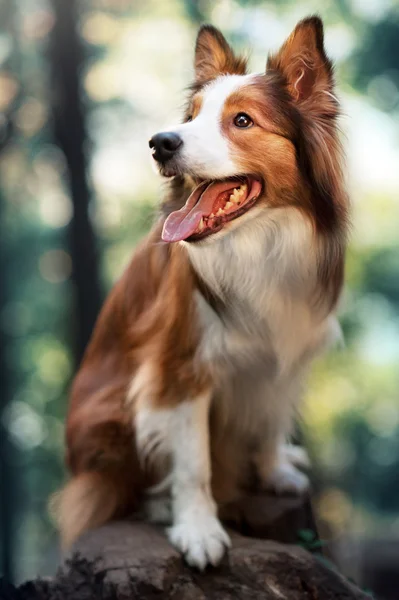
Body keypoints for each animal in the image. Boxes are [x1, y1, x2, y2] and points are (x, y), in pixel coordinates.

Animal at [54, 12, 348, 568]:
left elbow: (271, 414)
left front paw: (275, 469)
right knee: (109, 487)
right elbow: (193, 463)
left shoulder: (288, 346)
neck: (258, 241)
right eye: (190, 118)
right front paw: (197, 528)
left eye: (242, 121)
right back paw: (158, 504)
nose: (160, 142)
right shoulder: (179, 366)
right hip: (108, 418)